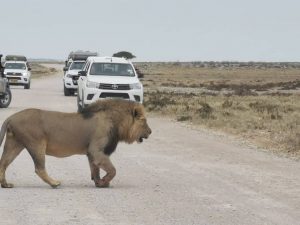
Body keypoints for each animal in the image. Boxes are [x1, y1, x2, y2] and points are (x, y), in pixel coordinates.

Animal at [0, 99, 150, 189]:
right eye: (143, 120)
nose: (151, 131)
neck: (117, 122)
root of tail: (11, 117)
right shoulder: (96, 150)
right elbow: (113, 170)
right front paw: (105, 182)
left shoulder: (91, 153)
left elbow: (95, 169)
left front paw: (99, 183)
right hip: (36, 144)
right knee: (39, 168)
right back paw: (54, 183)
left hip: (14, 144)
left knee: (3, 163)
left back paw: (5, 184)